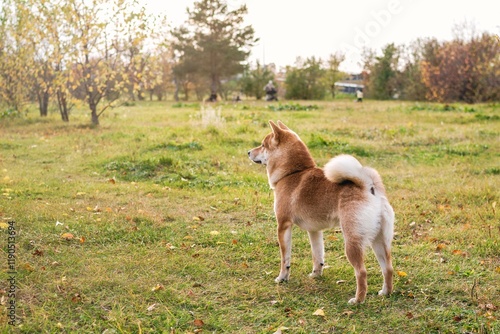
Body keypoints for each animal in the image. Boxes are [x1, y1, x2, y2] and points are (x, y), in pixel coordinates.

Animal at [247, 121, 394, 304]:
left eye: (262, 145)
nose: (248, 152)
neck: (292, 173)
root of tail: (368, 187)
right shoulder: (314, 231)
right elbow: (318, 256)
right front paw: (316, 275)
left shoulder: (283, 225)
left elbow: (285, 258)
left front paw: (282, 278)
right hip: (379, 240)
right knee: (388, 268)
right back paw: (385, 292)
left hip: (352, 242)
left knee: (361, 272)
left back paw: (358, 300)